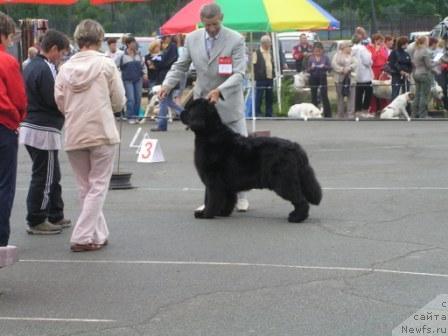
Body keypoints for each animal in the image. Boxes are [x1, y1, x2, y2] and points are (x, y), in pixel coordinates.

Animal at [182, 98, 322, 222]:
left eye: (190, 109)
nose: (181, 113)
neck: (210, 134)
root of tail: (296, 148)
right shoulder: (226, 183)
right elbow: (228, 199)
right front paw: (222, 213)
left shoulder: (213, 180)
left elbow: (211, 199)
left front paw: (205, 214)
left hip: (284, 181)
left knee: (300, 200)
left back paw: (296, 218)